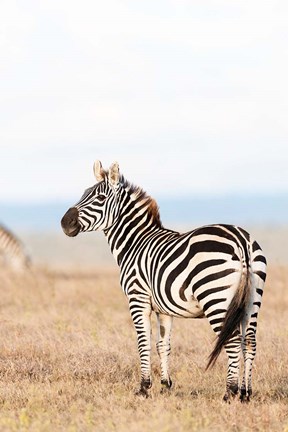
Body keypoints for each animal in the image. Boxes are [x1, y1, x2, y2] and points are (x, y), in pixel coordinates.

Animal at [62, 162, 266, 402]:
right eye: (84, 193)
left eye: (100, 198)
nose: (64, 223)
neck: (134, 243)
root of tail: (241, 240)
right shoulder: (164, 308)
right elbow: (163, 344)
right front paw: (165, 385)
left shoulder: (137, 299)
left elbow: (144, 343)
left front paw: (143, 387)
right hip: (251, 301)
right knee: (249, 342)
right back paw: (245, 394)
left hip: (216, 298)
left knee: (233, 341)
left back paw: (229, 392)